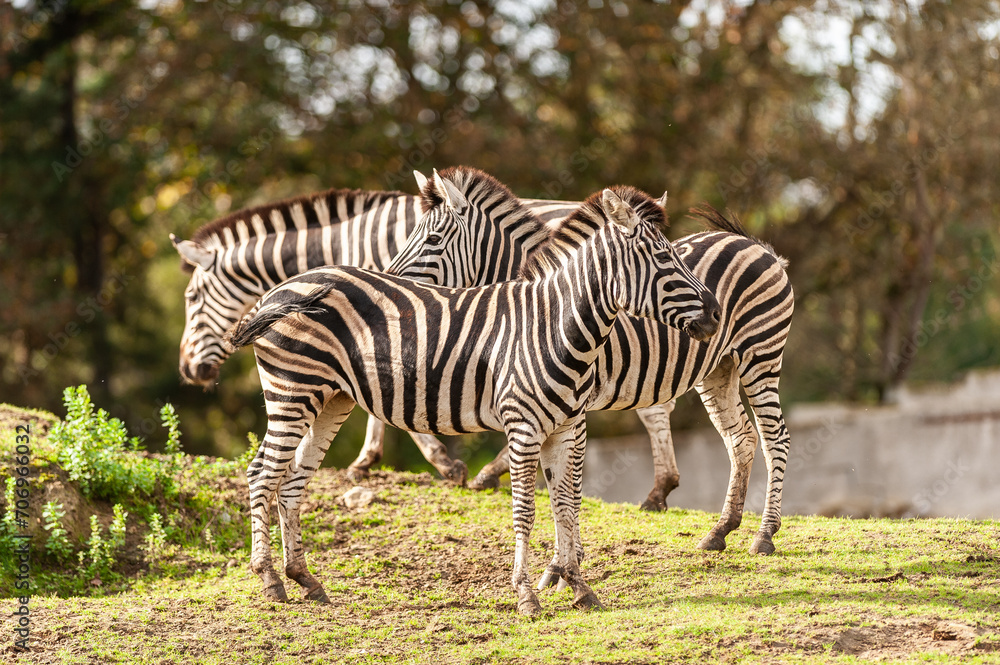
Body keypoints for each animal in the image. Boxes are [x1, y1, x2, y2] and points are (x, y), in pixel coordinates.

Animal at [223, 183, 721, 614]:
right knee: (261, 473)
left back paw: (305, 579)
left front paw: (578, 587)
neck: (553, 324)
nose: (716, 313)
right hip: (292, 392)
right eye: (663, 256)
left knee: (292, 479)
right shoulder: (524, 428)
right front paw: (527, 595)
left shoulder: (566, 428)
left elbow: (566, 504)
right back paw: (270, 580)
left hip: (330, 399)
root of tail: (282, 287)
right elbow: (526, 510)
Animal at [386, 166, 794, 557]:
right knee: (740, 438)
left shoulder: (571, 401)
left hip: (761, 355)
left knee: (776, 437)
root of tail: (756, 244)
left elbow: (568, 478)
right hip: (719, 368)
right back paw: (721, 530)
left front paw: (570, 553)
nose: (390, 285)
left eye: (432, 240)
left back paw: (764, 536)